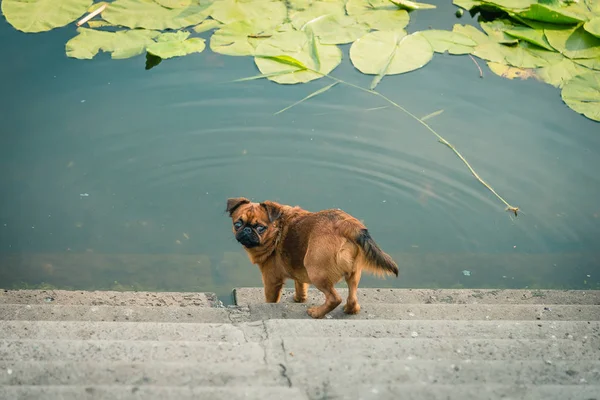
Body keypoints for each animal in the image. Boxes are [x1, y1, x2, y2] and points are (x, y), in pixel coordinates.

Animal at [225, 198, 398, 318]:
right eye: (237, 224)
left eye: (260, 228)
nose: (247, 230)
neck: (277, 230)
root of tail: (347, 225)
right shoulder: (297, 269)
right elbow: (300, 286)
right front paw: (299, 299)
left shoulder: (271, 280)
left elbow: (271, 299)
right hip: (354, 273)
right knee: (352, 297)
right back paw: (349, 310)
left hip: (316, 272)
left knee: (334, 298)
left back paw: (317, 313)